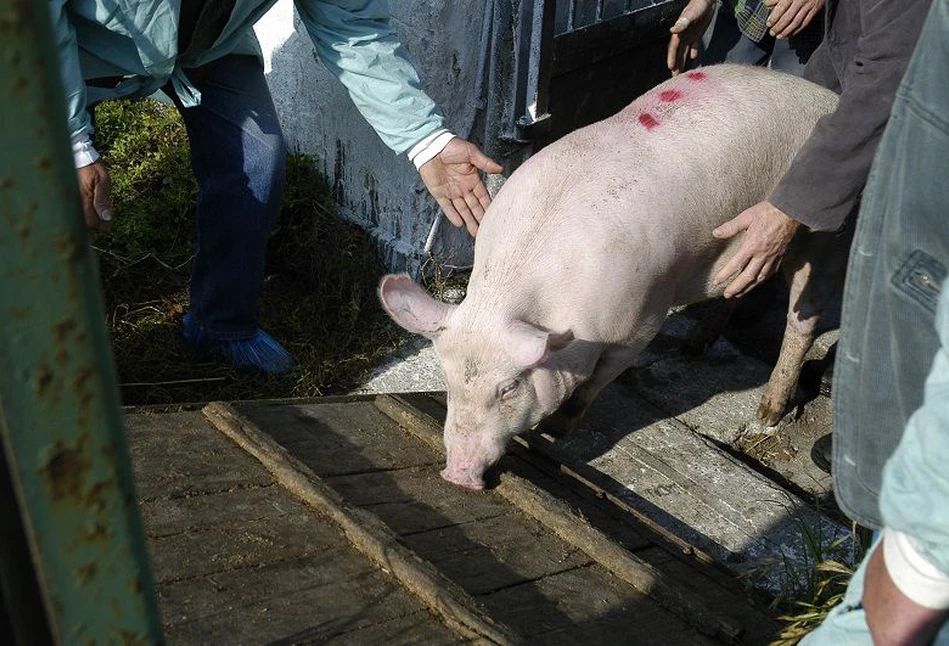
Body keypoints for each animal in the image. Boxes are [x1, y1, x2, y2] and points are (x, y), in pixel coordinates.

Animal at [378, 64, 844, 492]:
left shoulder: (642, 320)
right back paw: (694, 347)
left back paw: (767, 412)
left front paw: (555, 432)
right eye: (448, 381)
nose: (457, 474)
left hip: (821, 237)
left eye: (508, 388)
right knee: (741, 288)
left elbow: (597, 382)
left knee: (804, 316)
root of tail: (826, 96)